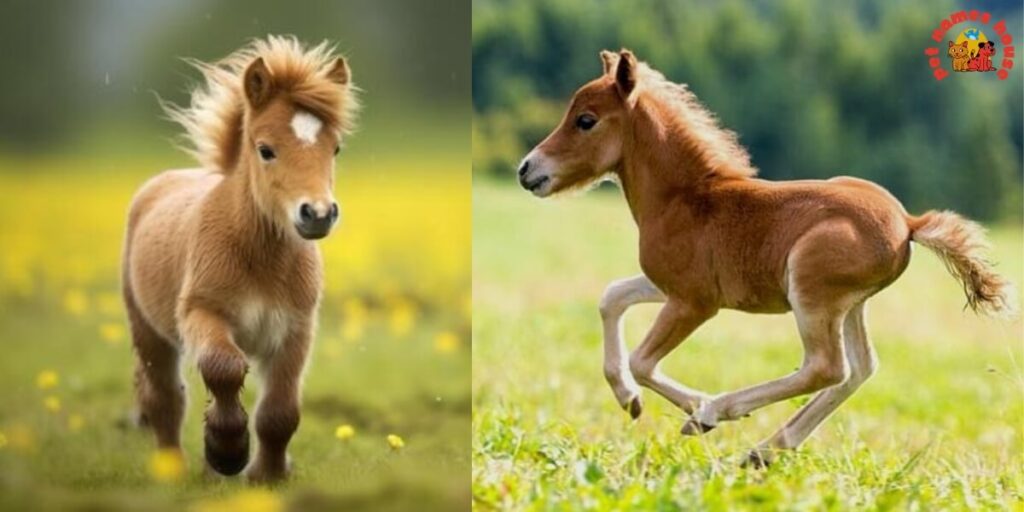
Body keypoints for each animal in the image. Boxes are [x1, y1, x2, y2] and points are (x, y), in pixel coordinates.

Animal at [122, 35, 358, 482]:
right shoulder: (202, 314)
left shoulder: (295, 331)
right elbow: (224, 368)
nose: (318, 214)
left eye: (335, 148)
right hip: (148, 330)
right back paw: (172, 469)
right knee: (164, 398)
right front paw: (226, 450)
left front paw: (268, 474)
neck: (261, 259)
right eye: (266, 150)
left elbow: (280, 413)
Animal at [516, 49, 1015, 467]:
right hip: (851, 305)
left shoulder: (695, 302)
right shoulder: (668, 285)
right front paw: (629, 399)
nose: (527, 170)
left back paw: (723, 413)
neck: (686, 198)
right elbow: (611, 297)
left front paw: (697, 410)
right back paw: (765, 450)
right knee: (859, 370)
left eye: (585, 120)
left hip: (811, 292)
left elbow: (642, 359)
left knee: (826, 367)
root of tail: (908, 222)